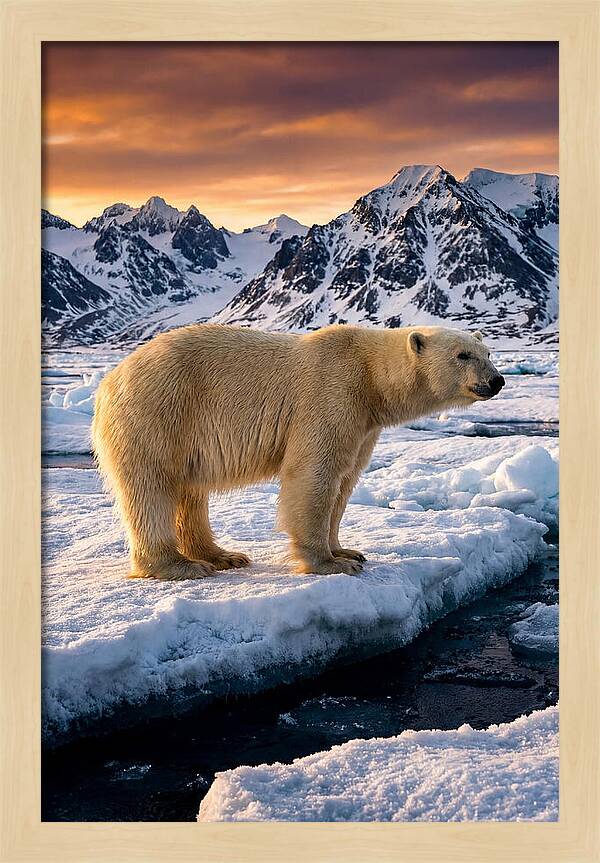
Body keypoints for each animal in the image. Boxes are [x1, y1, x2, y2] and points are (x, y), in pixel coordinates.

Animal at [92, 323, 504, 580]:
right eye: (463, 355)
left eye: (487, 352)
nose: (497, 380)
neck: (370, 376)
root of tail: (110, 380)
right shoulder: (332, 393)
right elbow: (314, 474)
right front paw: (329, 564)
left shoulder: (363, 424)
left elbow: (344, 480)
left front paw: (347, 551)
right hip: (160, 412)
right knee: (152, 487)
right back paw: (180, 565)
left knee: (190, 492)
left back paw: (222, 555)